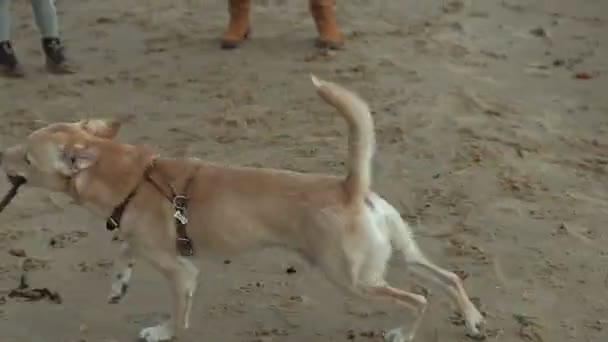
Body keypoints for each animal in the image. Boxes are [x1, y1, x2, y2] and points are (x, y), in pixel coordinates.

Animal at [0, 76, 484, 340]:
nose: (2, 153)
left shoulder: (182, 272)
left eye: (26, 156)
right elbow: (123, 250)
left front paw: (160, 330)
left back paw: (405, 333)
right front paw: (119, 283)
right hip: (397, 255)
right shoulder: (142, 241)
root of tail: (352, 187)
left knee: (419, 298)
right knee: (448, 278)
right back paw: (473, 319)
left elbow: (177, 316)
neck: (130, 177)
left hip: (354, 279)